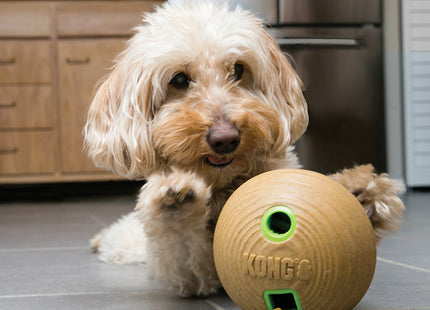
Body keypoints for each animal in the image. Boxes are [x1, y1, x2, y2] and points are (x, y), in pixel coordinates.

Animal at [83, 0, 404, 298]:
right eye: (179, 79)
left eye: (238, 69)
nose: (225, 138)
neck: (224, 183)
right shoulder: (194, 272)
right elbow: (182, 243)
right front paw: (175, 201)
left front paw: (361, 194)